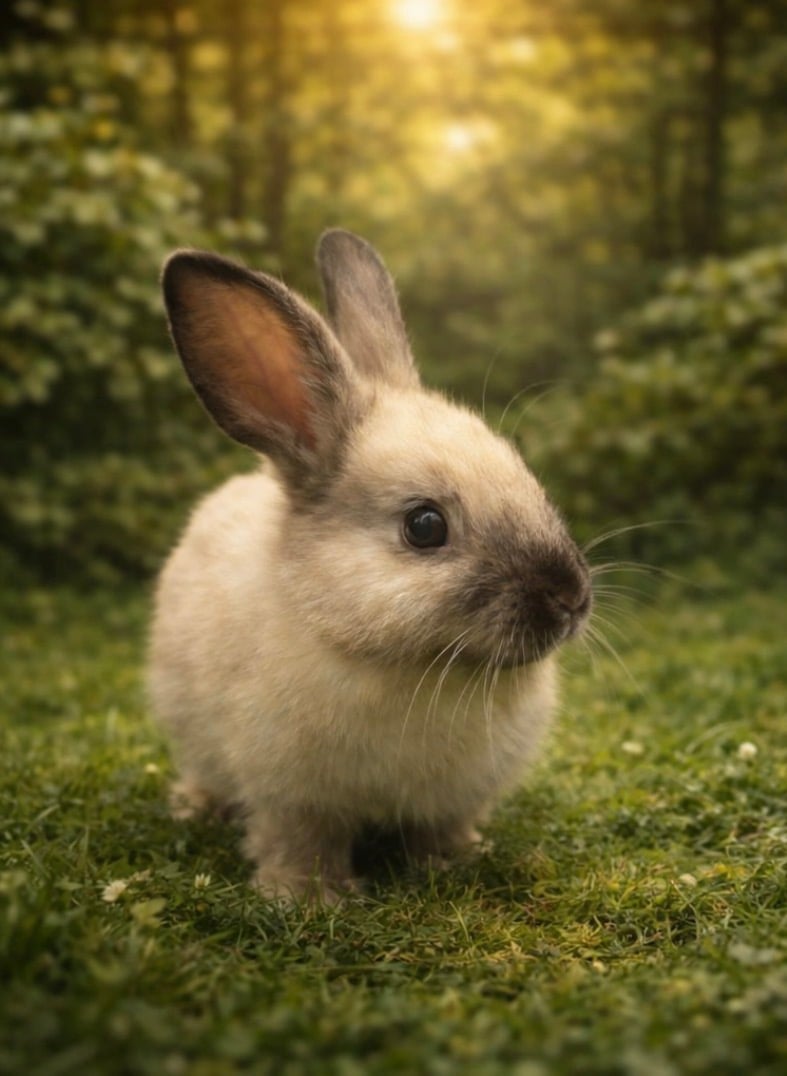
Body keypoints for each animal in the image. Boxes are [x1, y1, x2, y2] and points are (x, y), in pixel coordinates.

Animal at [149, 229, 592, 902]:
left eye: (525, 476)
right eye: (424, 526)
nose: (571, 598)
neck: (412, 665)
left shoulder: (451, 800)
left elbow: (439, 831)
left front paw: (454, 861)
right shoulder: (291, 796)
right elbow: (299, 843)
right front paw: (305, 898)